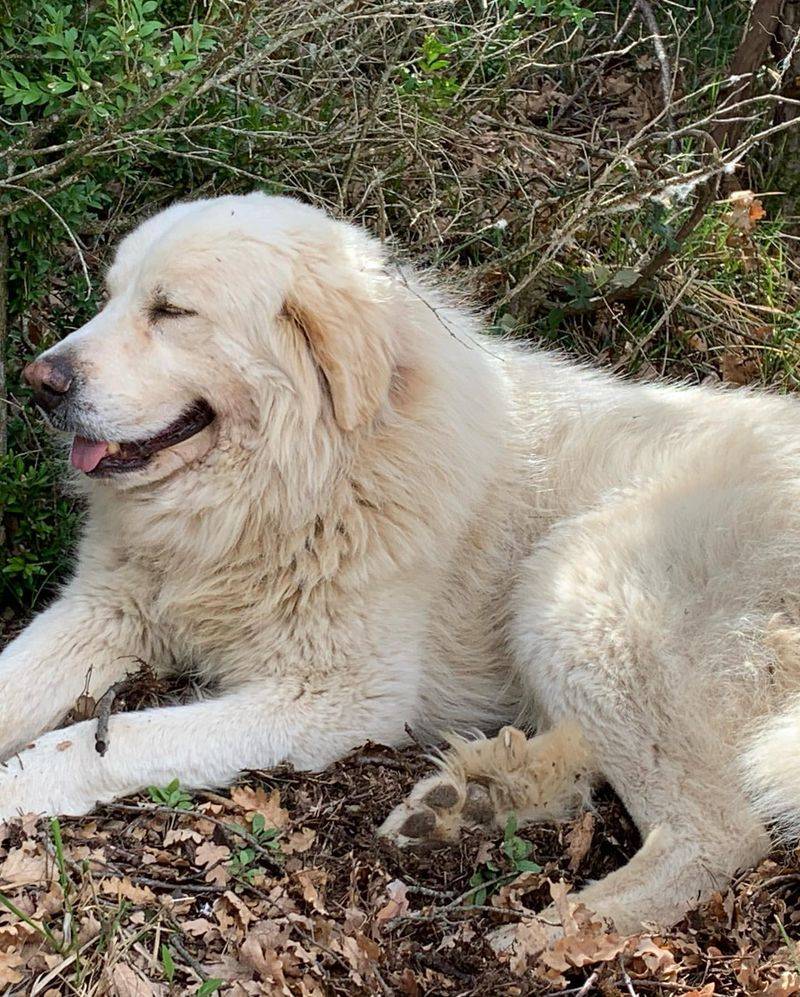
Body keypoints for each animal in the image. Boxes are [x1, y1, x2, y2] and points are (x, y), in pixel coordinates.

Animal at [4, 193, 800, 932]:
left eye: (171, 310)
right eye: (111, 298)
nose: (40, 381)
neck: (294, 481)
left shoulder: (339, 697)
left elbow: (107, 740)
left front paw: (19, 781)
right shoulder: (106, 608)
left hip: (572, 580)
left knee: (720, 833)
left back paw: (550, 936)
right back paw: (472, 799)